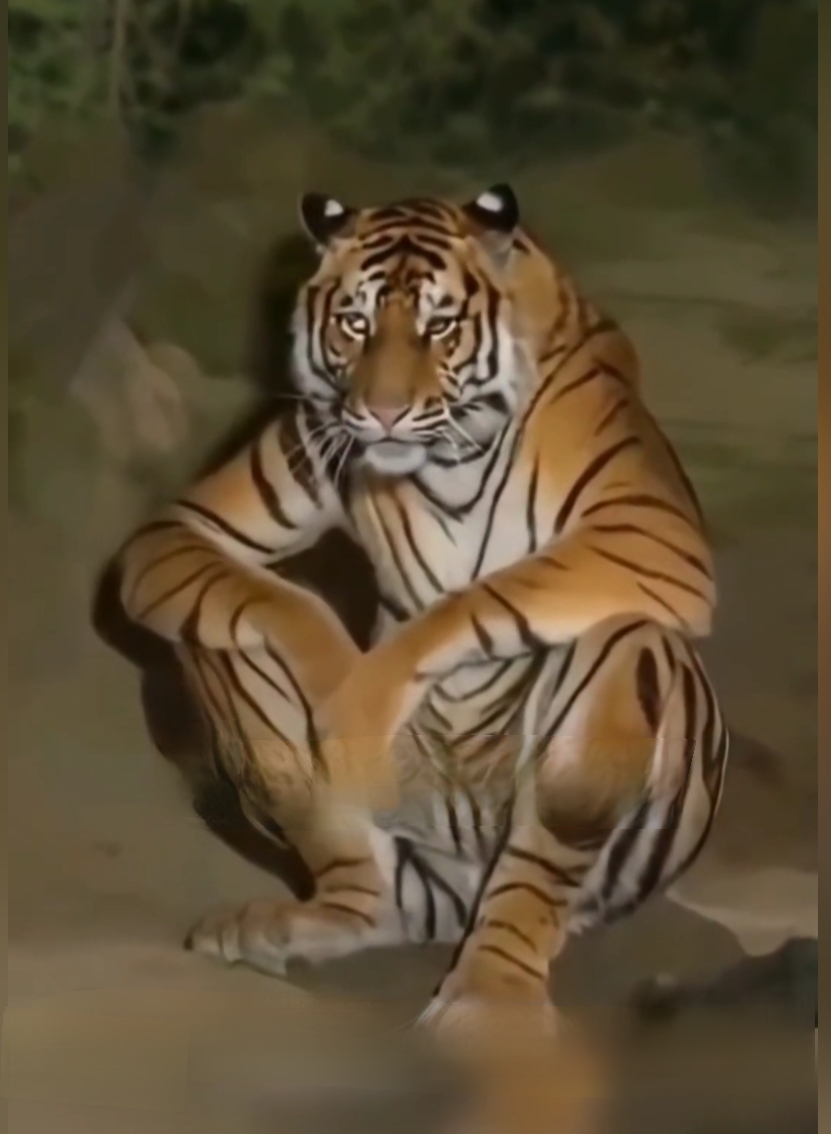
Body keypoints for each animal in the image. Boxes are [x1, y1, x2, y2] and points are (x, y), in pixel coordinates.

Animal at [109, 183, 729, 1044]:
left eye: (439, 327)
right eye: (354, 323)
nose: (383, 412)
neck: (446, 461)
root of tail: (452, 903)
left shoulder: (650, 533)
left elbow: (484, 595)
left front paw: (361, 694)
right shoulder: (195, 523)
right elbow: (283, 599)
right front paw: (339, 689)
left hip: (597, 758)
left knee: (540, 857)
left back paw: (491, 995)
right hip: (356, 819)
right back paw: (302, 923)